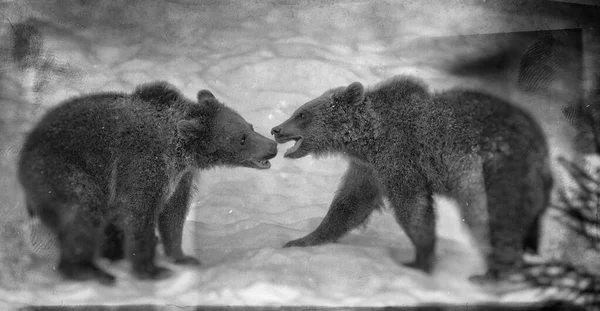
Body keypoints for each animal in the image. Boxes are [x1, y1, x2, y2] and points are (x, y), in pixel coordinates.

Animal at [19, 82, 278, 286]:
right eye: (241, 138)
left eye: (250, 126)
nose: (272, 146)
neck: (181, 151)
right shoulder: (143, 165)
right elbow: (139, 212)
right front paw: (153, 269)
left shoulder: (180, 177)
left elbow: (173, 214)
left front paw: (182, 257)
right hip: (64, 170)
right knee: (82, 212)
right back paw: (89, 271)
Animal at [272, 75, 552, 282]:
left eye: (302, 114)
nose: (276, 130)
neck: (368, 138)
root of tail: (540, 145)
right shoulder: (369, 169)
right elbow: (349, 205)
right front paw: (302, 240)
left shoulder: (400, 158)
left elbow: (413, 208)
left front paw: (421, 260)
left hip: (492, 169)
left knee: (489, 215)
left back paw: (494, 274)